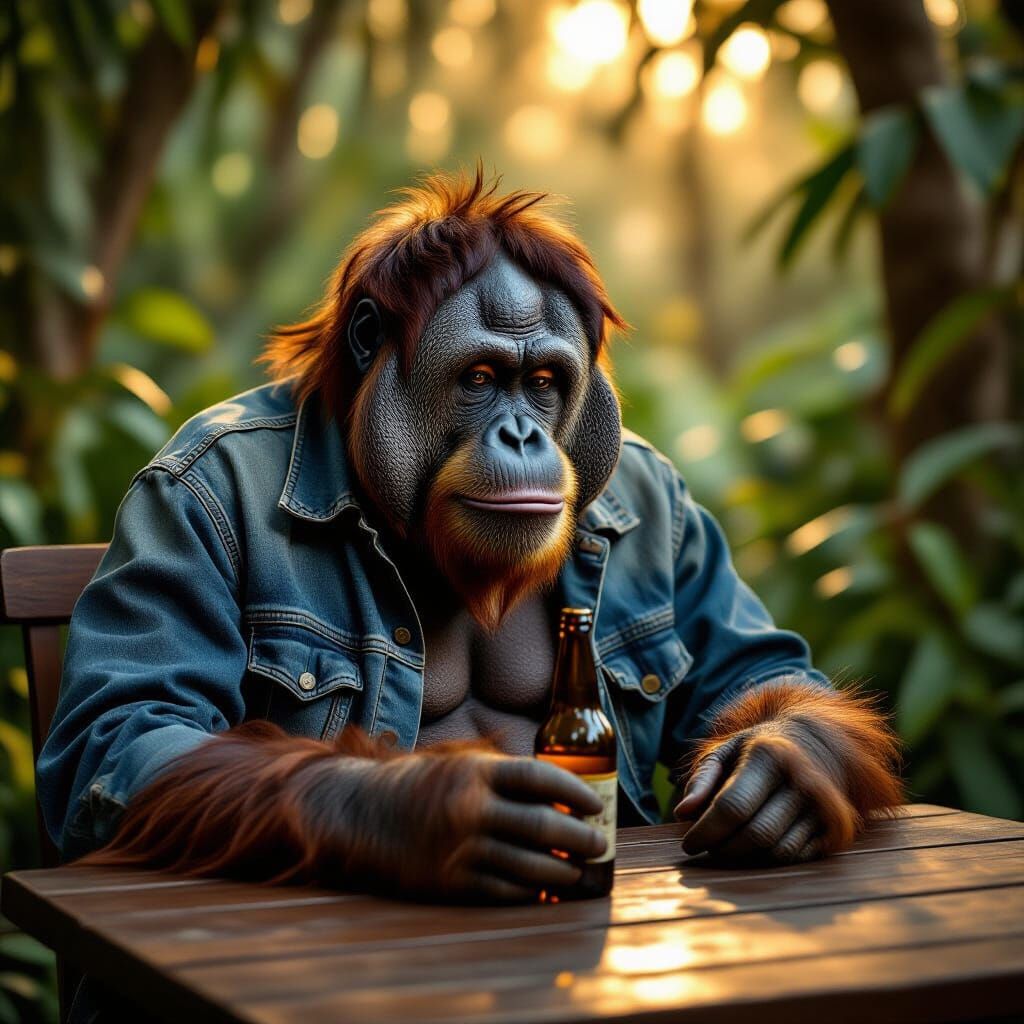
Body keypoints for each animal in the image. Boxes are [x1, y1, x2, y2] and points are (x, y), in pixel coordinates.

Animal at [41, 168, 903, 906]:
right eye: (482, 379)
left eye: (545, 382)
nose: (523, 433)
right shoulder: (183, 492)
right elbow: (132, 722)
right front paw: (438, 812)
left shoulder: (670, 495)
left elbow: (754, 667)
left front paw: (778, 772)